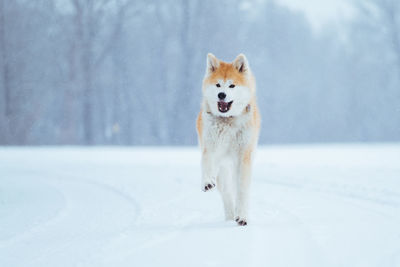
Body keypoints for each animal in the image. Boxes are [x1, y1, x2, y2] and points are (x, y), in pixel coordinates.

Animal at [196, 53, 260, 227]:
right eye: (218, 85)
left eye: (232, 86)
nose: (221, 95)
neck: (228, 121)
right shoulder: (211, 146)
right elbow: (207, 165)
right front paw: (207, 182)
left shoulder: (243, 156)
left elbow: (242, 190)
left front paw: (242, 216)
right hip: (223, 171)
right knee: (226, 193)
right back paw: (230, 215)